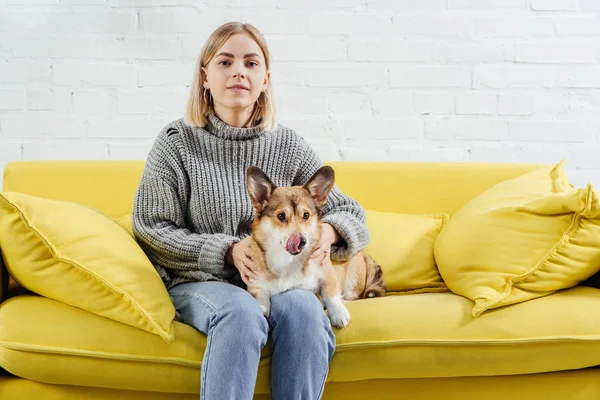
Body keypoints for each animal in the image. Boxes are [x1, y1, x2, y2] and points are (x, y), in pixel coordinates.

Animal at [244, 165, 384, 328]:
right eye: (281, 216)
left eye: (306, 215)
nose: (302, 241)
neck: (286, 260)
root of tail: (364, 255)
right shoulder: (255, 286)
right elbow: (261, 296)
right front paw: (263, 307)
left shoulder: (327, 273)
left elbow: (331, 294)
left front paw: (338, 313)